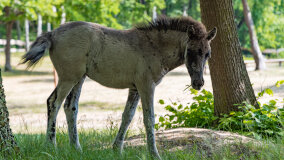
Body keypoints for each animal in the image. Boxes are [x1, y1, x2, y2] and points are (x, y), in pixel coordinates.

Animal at [22, 16, 216, 159]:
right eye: (191, 51)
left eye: (208, 54)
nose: (198, 83)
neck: (154, 46)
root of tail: (53, 33)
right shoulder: (147, 86)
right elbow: (149, 119)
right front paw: (154, 154)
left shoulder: (135, 88)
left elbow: (127, 116)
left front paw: (117, 149)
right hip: (68, 78)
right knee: (53, 102)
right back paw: (51, 146)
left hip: (79, 78)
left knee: (70, 107)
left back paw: (76, 149)